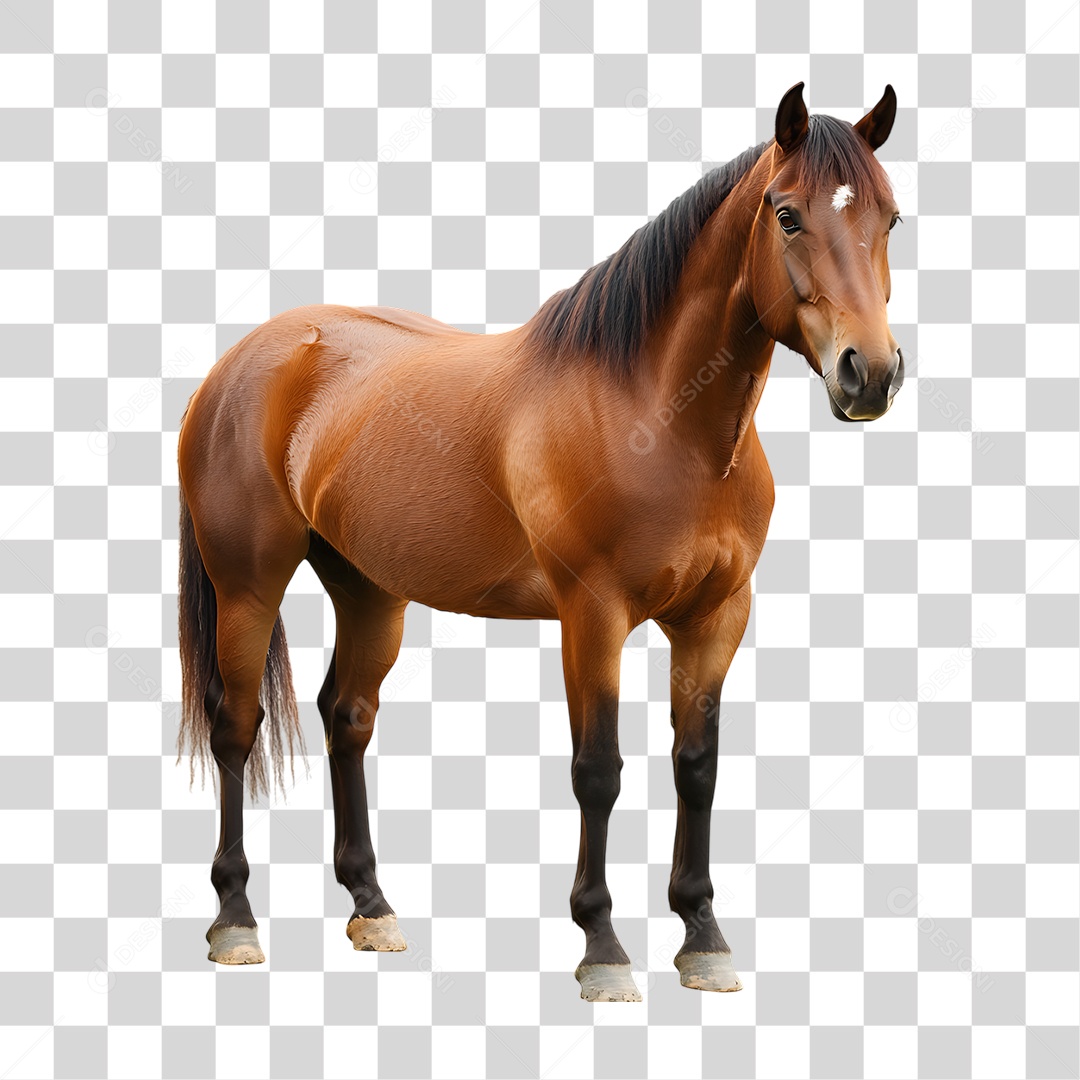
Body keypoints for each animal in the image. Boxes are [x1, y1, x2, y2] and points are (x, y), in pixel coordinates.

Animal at [177, 82, 903, 1001]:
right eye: (787, 214)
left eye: (891, 217)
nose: (869, 373)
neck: (657, 415)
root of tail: (239, 361)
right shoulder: (592, 616)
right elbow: (599, 771)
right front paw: (604, 948)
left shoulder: (716, 619)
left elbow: (696, 765)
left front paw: (702, 937)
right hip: (248, 586)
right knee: (235, 727)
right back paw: (235, 919)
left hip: (370, 589)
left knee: (347, 715)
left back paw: (372, 906)